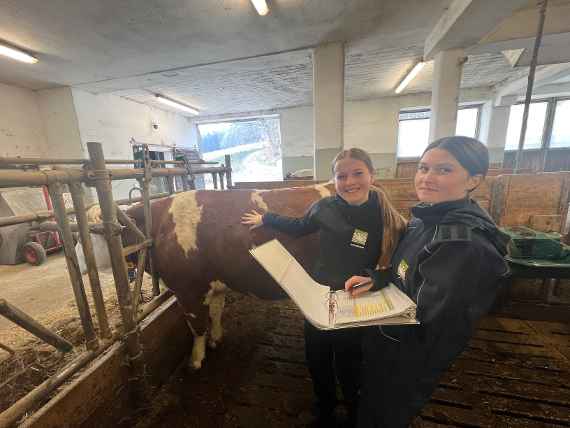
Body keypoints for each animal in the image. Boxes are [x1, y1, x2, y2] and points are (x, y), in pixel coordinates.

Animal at [115, 184, 402, 368]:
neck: (161, 225)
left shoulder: (186, 289)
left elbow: (196, 326)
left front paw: (196, 360)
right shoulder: (214, 284)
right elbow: (216, 313)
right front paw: (216, 339)